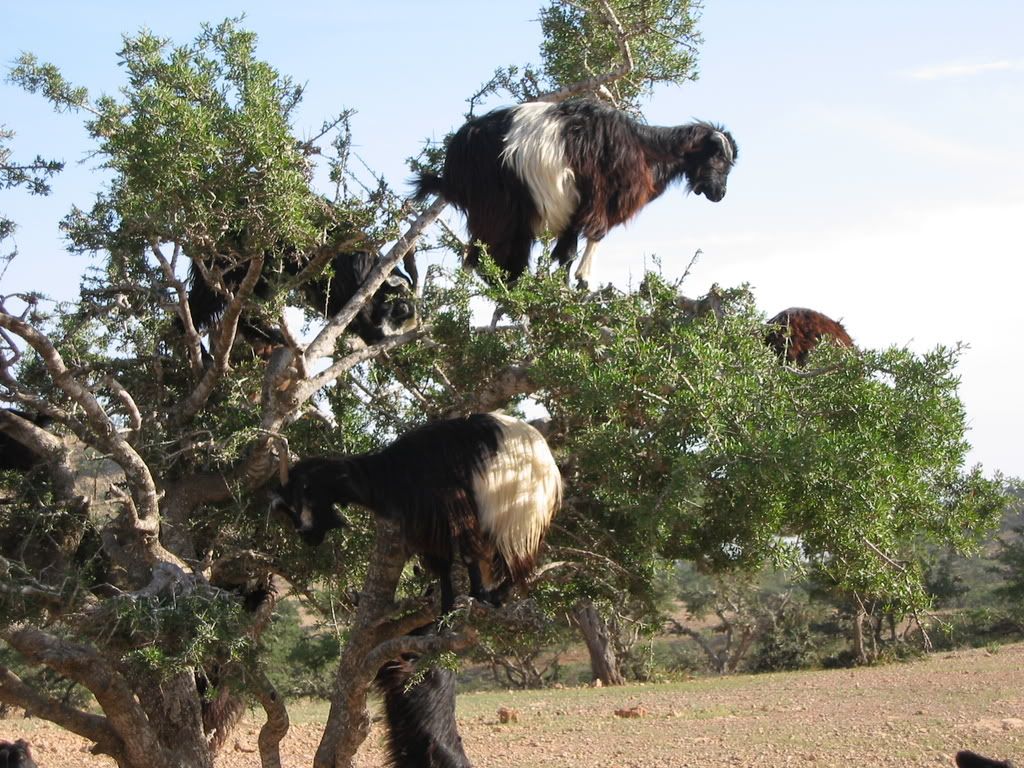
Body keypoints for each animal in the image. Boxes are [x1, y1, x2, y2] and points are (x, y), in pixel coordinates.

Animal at [270, 415, 561, 614]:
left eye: (303, 496)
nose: (307, 536)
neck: (394, 470)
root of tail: (546, 458)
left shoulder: (452, 508)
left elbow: (467, 553)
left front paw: (477, 596)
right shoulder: (429, 525)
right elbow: (443, 563)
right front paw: (445, 611)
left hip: (515, 513)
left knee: (519, 556)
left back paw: (498, 594)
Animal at [411, 99, 741, 286]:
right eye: (720, 159)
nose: (720, 193)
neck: (645, 149)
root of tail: (452, 168)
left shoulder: (573, 208)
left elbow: (565, 252)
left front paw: (564, 286)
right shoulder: (599, 198)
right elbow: (595, 235)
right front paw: (582, 281)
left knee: (486, 257)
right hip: (500, 209)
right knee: (489, 258)